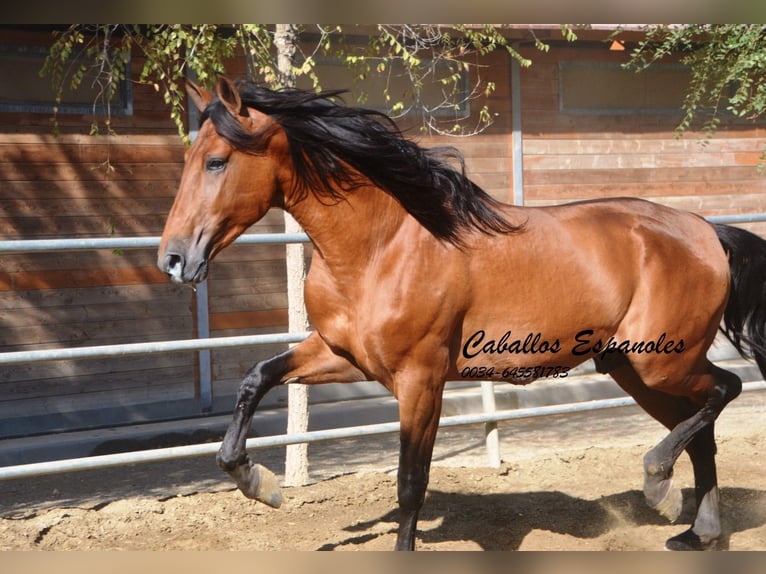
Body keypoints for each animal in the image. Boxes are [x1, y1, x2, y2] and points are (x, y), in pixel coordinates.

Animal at [160, 76, 766, 552]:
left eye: (216, 162)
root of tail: (705, 230)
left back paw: (658, 482)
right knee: (704, 431)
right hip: (632, 369)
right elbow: (255, 378)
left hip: (662, 362)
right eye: (187, 160)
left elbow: (411, 481)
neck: (382, 246)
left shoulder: (421, 379)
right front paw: (259, 483)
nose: (173, 259)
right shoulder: (343, 356)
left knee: (726, 389)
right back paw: (694, 531)